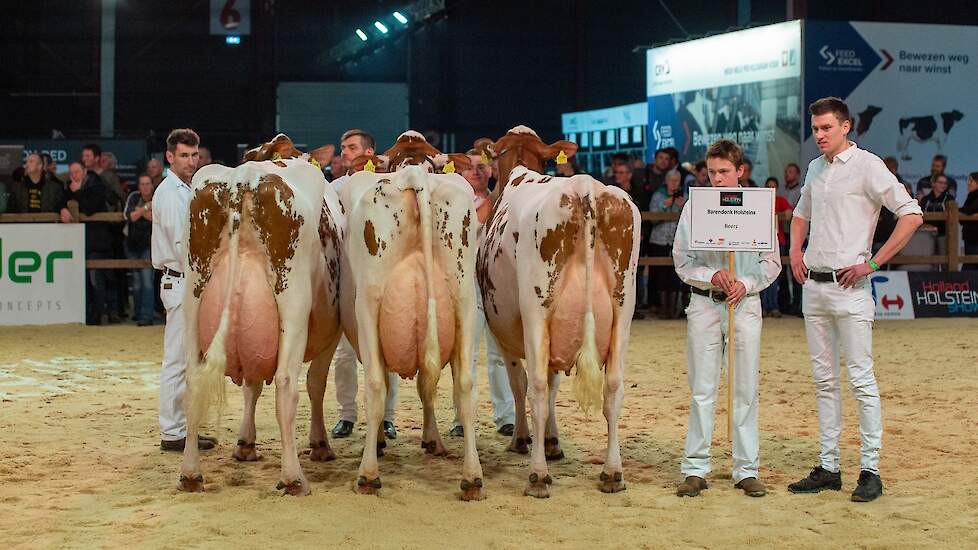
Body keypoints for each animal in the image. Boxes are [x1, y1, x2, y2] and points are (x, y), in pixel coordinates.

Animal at [177, 135, 346, 500]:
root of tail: (244, 178)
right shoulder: (332, 329)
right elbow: (316, 383)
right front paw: (320, 444)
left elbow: (251, 385)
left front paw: (245, 443)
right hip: (293, 304)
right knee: (286, 383)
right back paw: (294, 477)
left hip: (192, 298)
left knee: (192, 381)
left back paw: (191, 473)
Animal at [338, 132, 486, 502]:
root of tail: (413, 174)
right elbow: (425, 385)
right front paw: (432, 439)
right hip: (464, 297)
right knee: (463, 385)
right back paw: (472, 477)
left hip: (368, 303)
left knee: (376, 384)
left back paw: (368, 474)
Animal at [474, 126, 640, 500]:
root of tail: (585, 189)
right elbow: (553, 384)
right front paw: (552, 441)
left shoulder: (504, 328)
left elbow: (522, 383)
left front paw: (524, 439)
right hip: (623, 311)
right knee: (613, 388)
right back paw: (612, 472)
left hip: (537, 309)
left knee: (534, 386)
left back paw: (538, 475)